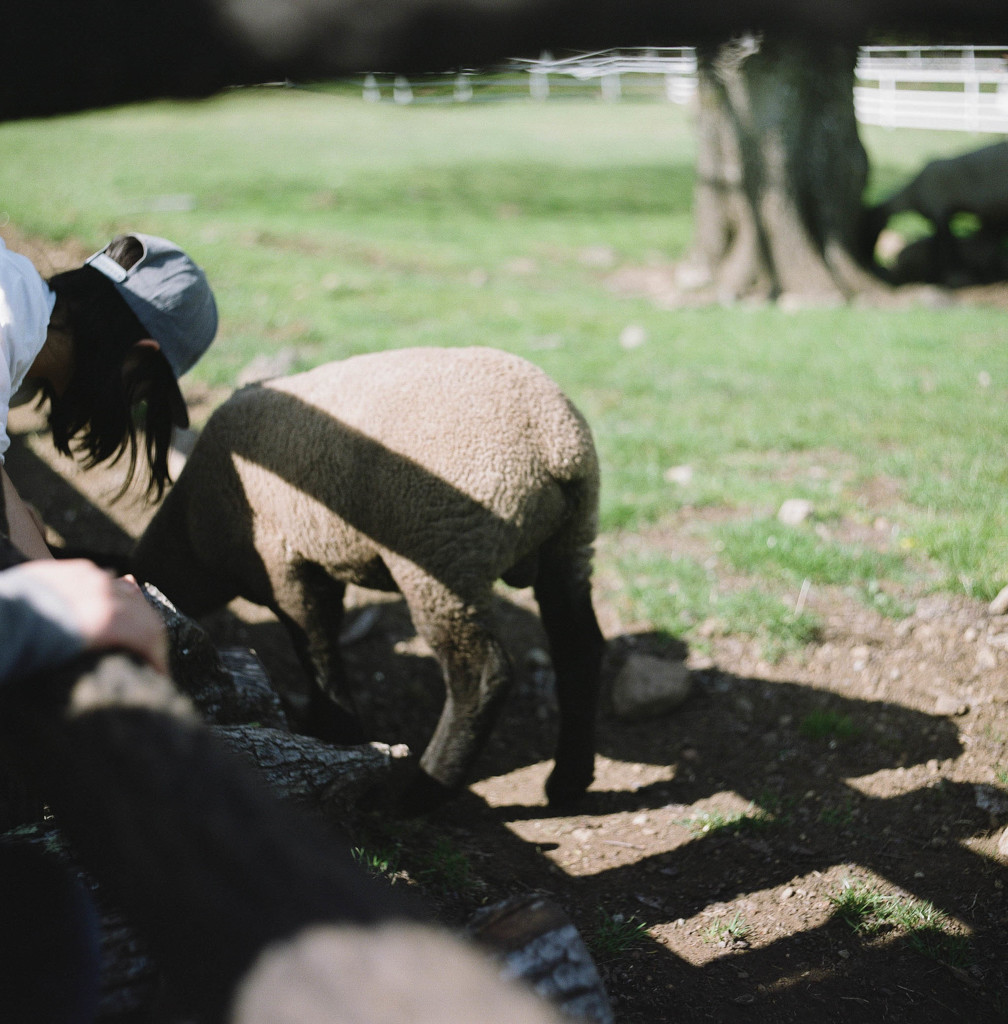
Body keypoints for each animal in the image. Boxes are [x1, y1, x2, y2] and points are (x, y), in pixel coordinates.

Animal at [134, 348, 606, 811]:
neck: (192, 528)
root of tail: (555, 446)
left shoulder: (282, 565)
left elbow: (317, 650)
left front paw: (338, 732)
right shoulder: (321, 563)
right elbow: (325, 639)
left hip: (442, 557)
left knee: (481, 674)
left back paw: (424, 791)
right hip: (570, 544)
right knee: (580, 647)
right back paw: (568, 781)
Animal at [860, 138, 1008, 284]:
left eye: (869, 226)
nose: (869, 260)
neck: (913, 195)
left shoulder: (939, 210)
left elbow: (945, 244)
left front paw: (951, 274)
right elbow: (939, 244)